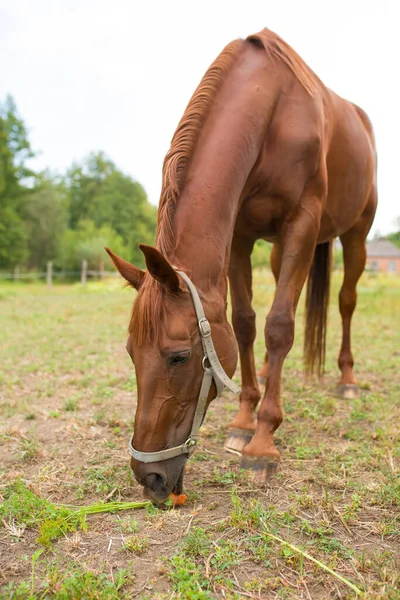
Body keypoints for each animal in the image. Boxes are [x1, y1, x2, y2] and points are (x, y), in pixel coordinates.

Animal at [105, 29, 376, 506]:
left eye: (179, 356)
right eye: (130, 352)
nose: (148, 477)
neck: (272, 110)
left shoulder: (302, 224)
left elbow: (279, 326)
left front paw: (263, 442)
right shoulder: (241, 236)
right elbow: (246, 324)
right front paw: (243, 422)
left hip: (355, 234)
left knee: (345, 303)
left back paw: (346, 378)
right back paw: (270, 373)